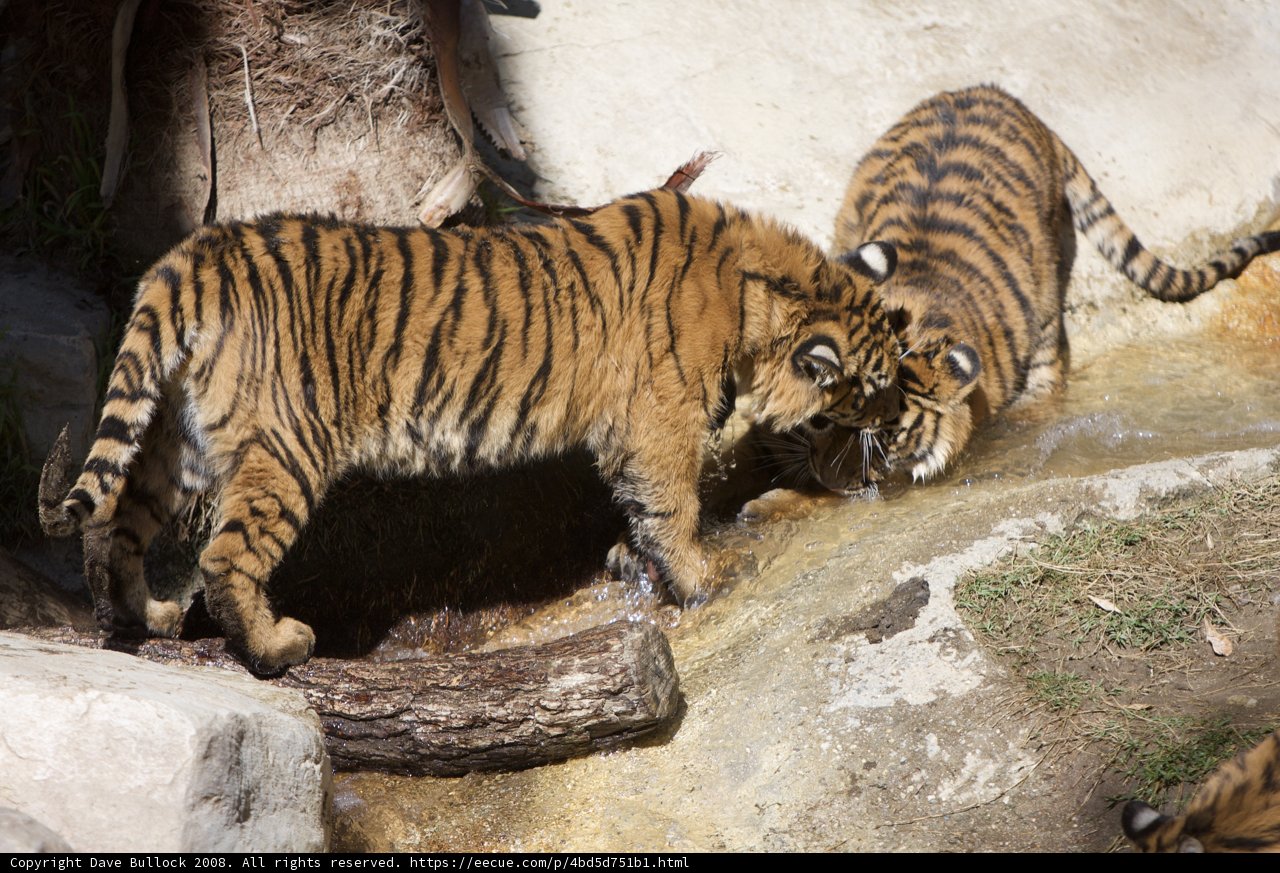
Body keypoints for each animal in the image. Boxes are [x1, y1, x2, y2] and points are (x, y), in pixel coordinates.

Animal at [37, 187, 901, 674]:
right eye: (875, 387)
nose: (893, 436)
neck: (761, 291)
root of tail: (197, 252)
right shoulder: (662, 420)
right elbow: (675, 503)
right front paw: (703, 580)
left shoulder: (632, 433)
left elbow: (643, 506)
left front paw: (636, 561)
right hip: (284, 449)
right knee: (224, 556)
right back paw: (277, 646)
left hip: (174, 438)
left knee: (116, 528)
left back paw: (144, 615)